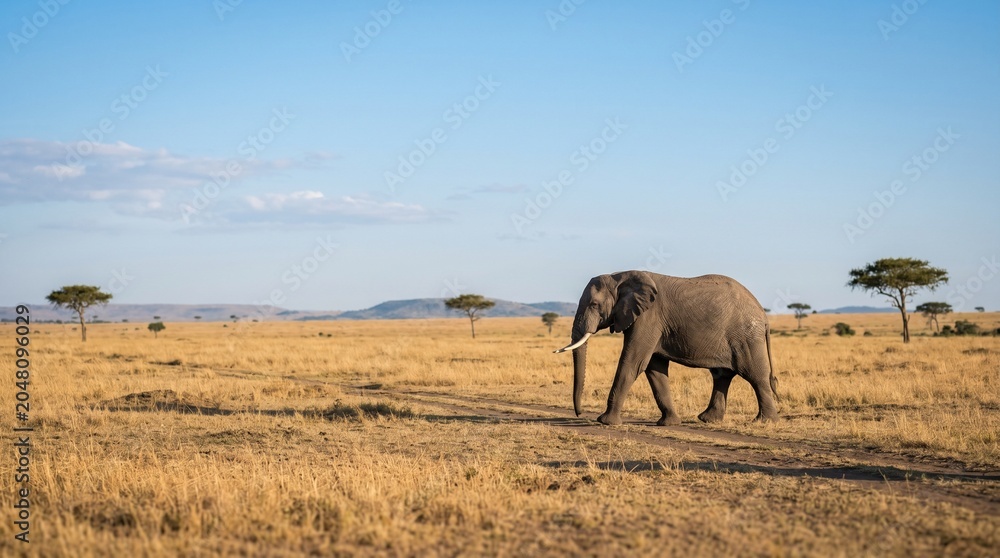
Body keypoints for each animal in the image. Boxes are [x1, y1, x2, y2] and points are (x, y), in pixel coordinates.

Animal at [554, 270, 778, 425]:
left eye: (593, 304)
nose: (579, 413)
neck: (620, 276)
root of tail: (763, 315)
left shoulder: (649, 317)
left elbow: (633, 362)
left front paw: (605, 422)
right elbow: (655, 369)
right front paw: (668, 423)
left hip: (747, 338)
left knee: (755, 376)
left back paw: (764, 421)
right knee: (722, 375)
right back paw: (708, 419)